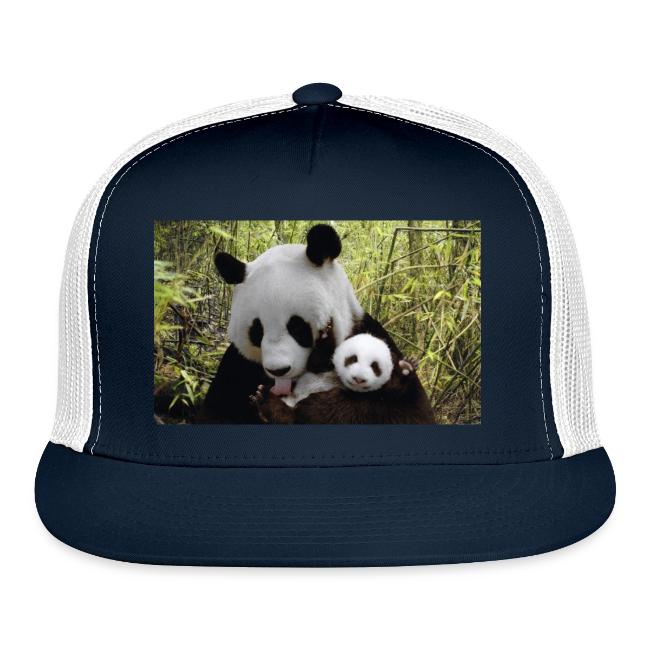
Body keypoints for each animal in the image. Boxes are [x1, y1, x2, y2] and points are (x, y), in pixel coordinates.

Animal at [249, 333, 436, 425]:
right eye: (352, 359)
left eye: (375, 366)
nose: (358, 379)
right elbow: (316, 360)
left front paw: (406, 368)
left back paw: (265, 399)